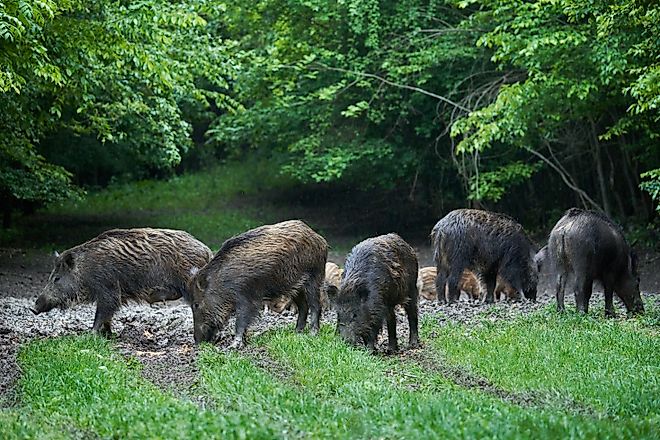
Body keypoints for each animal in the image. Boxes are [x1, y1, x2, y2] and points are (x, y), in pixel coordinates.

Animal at [32, 228, 213, 335]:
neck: (85, 271)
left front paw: (90, 334)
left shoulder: (108, 289)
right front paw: (108, 334)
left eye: (57, 278)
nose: (33, 308)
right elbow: (107, 316)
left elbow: (103, 312)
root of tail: (207, 251)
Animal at [188, 220, 327, 348]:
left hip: (314, 277)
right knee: (303, 306)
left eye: (196, 304)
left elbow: (241, 320)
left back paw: (313, 334)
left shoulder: (246, 297)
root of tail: (320, 239)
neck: (223, 282)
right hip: (294, 287)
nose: (197, 341)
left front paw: (234, 346)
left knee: (315, 305)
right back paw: (297, 333)